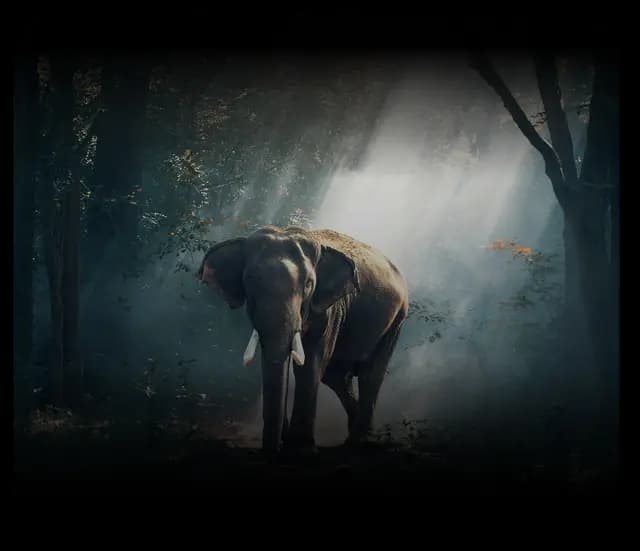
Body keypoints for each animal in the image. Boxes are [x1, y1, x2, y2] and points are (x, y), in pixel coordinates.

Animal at [198, 225, 409, 456]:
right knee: (336, 377)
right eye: (249, 282)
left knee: (370, 374)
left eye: (308, 284)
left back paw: (361, 442)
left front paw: (301, 450)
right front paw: (288, 444)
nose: (271, 452)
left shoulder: (329, 309)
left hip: (397, 320)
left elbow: (310, 364)